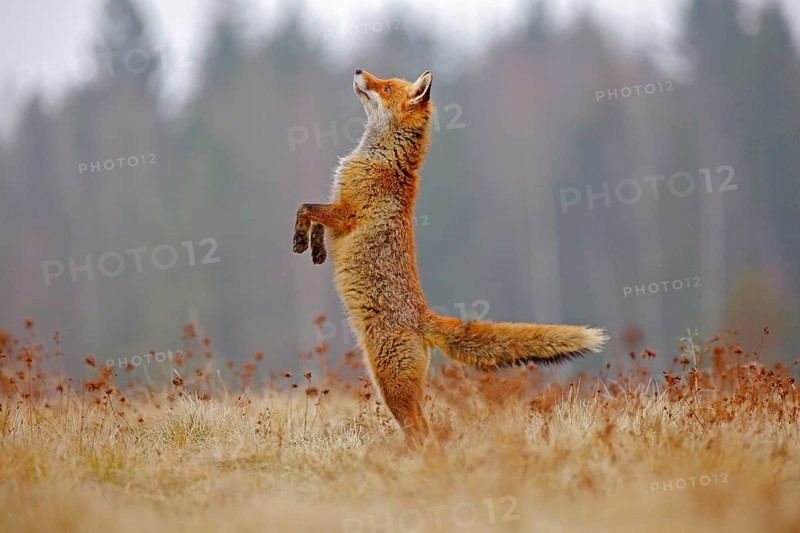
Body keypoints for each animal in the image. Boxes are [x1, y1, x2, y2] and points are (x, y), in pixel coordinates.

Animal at [293, 69, 608, 447]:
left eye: (386, 87)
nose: (357, 71)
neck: (381, 158)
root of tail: (423, 316)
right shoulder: (337, 211)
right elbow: (316, 221)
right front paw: (316, 249)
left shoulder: (346, 213)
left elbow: (305, 208)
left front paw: (299, 240)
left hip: (390, 385)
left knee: (422, 432)